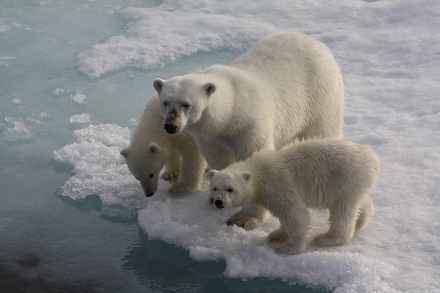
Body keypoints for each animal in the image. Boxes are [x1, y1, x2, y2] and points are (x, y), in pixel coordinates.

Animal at [154, 31, 344, 228]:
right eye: (165, 102)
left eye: (186, 104)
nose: (170, 126)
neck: (230, 111)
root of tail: (314, 41)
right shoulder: (210, 138)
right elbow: (219, 159)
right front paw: (212, 194)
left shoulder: (249, 127)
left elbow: (255, 163)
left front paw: (244, 218)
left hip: (319, 94)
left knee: (321, 129)